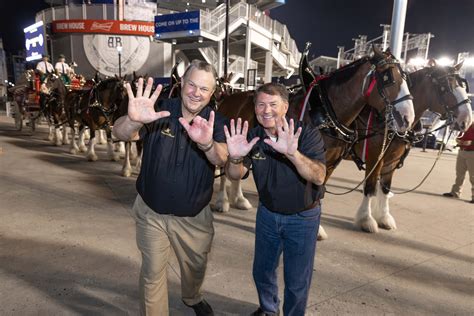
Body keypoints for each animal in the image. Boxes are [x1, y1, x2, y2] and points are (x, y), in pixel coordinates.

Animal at [322, 60, 470, 236]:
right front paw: (366, 219)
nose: (467, 120)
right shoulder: (375, 157)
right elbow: (370, 187)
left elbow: (385, 188)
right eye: (444, 87)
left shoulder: (391, 161)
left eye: (463, 85)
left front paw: (384, 218)